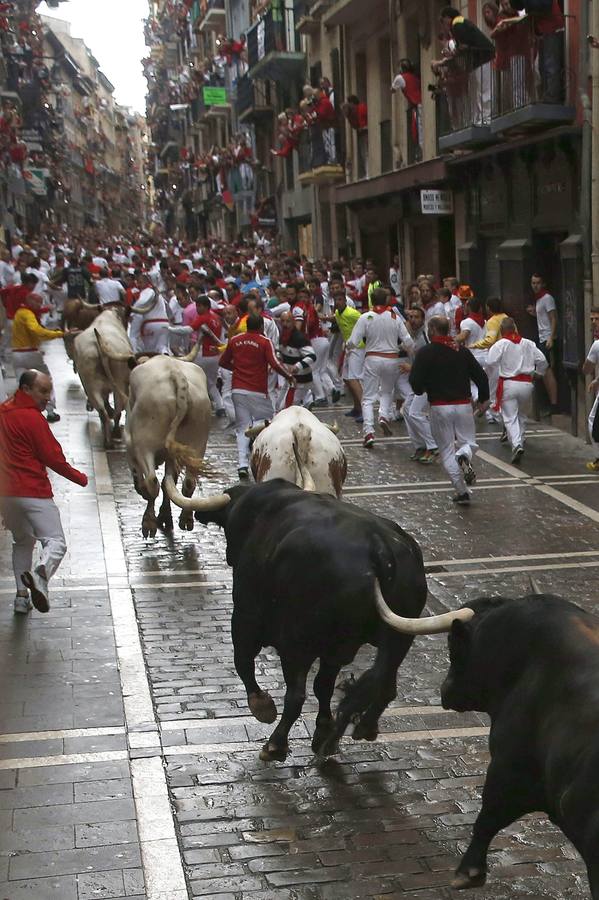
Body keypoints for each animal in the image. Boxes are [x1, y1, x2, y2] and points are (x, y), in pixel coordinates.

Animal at [72, 310, 134, 450]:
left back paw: (109, 440)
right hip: (114, 384)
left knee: (105, 411)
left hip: (93, 385)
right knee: (115, 411)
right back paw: (114, 435)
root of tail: (100, 346)